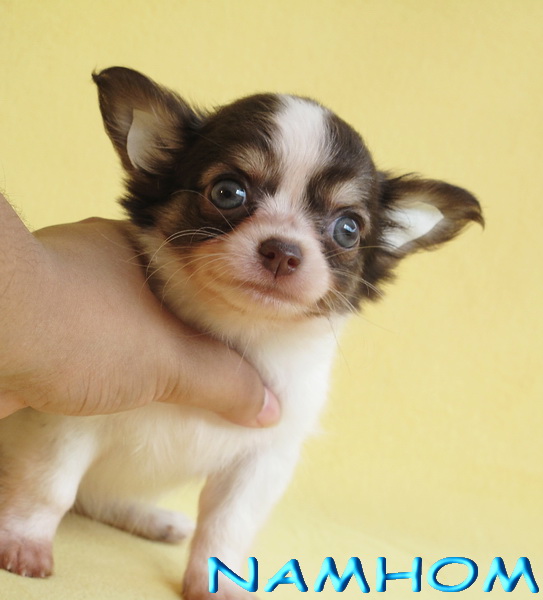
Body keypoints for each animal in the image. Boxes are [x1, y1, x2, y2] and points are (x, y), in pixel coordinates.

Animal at [0, 67, 483, 599]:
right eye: (228, 193)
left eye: (349, 229)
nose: (284, 251)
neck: (240, 334)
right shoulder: (67, 420)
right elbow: (49, 487)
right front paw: (24, 542)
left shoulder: (263, 458)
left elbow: (228, 525)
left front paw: (218, 584)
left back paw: (151, 519)